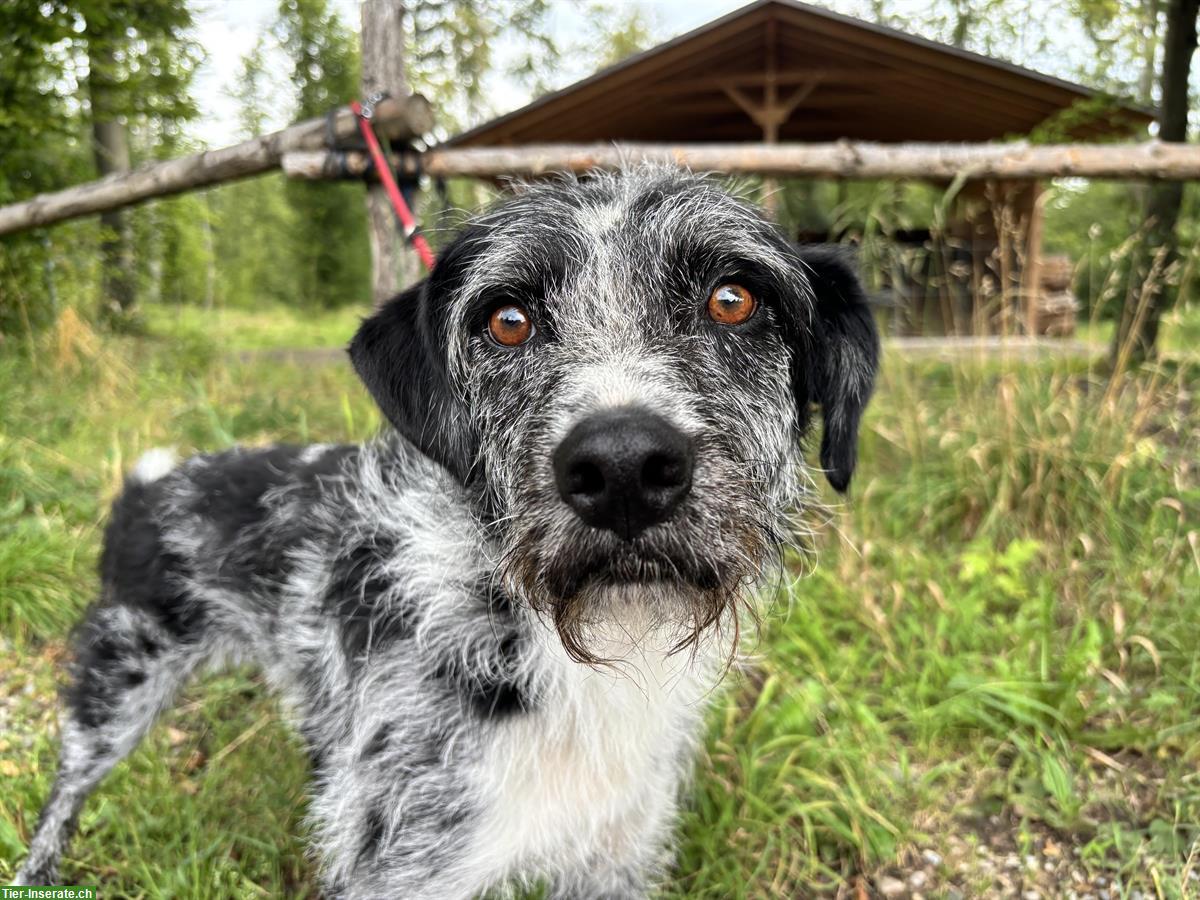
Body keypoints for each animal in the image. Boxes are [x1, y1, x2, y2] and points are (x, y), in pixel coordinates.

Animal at [14, 165, 878, 897]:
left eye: (734, 299)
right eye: (507, 320)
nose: (624, 469)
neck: (553, 647)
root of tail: (147, 489)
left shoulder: (613, 856)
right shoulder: (406, 863)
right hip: (119, 684)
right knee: (66, 787)